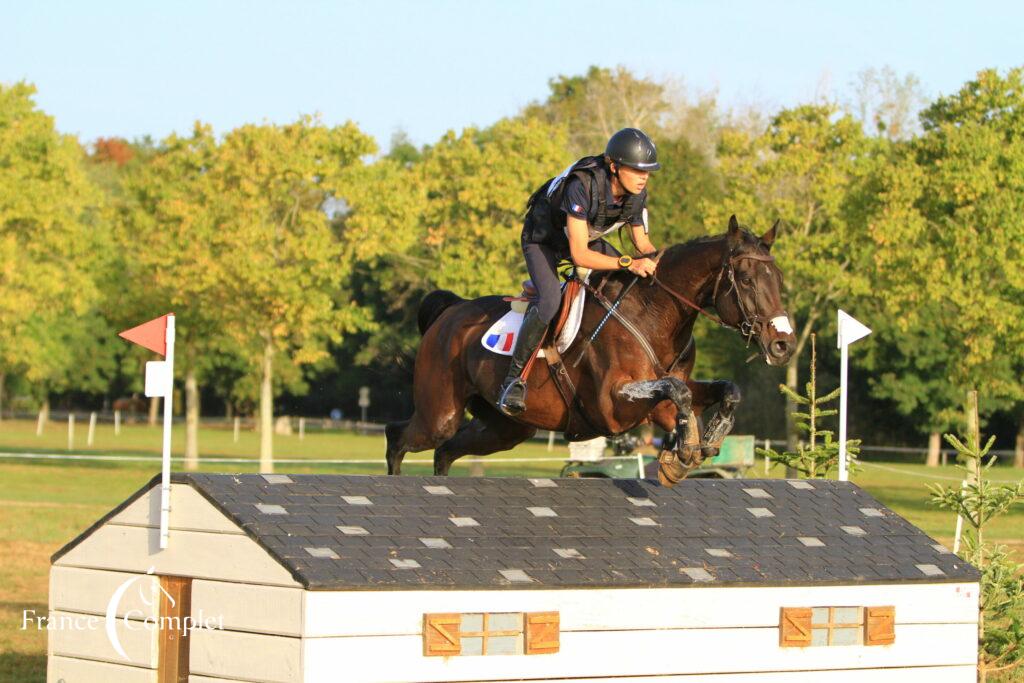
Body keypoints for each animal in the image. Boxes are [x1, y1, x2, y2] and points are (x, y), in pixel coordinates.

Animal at [387, 216, 794, 483]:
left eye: (778, 278)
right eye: (745, 279)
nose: (783, 344)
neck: (654, 314)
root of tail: (451, 311)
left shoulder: (662, 396)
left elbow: (723, 390)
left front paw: (703, 442)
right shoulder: (612, 406)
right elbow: (675, 393)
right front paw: (684, 452)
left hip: (505, 428)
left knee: (445, 451)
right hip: (441, 413)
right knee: (399, 437)